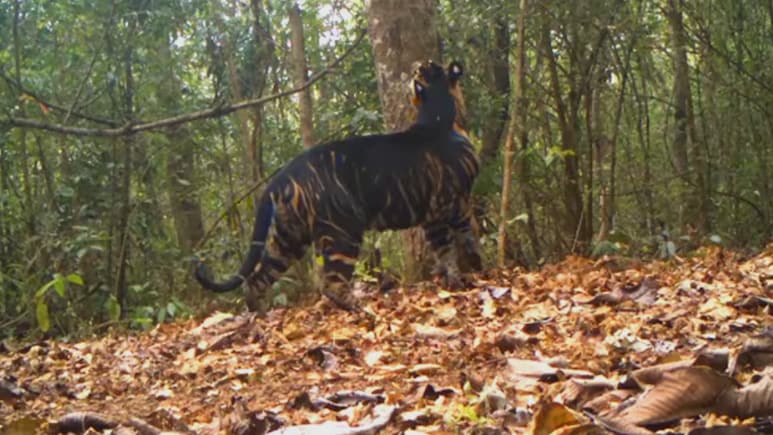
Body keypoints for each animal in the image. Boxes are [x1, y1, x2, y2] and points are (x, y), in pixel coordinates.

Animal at [195, 60, 481, 314]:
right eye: (427, 66)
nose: (415, 65)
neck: (438, 114)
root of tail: (280, 177)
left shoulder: (439, 212)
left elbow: (452, 244)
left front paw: (461, 275)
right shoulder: (450, 203)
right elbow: (458, 244)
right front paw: (466, 278)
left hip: (287, 237)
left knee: (257, 279)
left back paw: (261, 316)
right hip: (343, 230)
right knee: (330, 284)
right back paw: (363, 309)